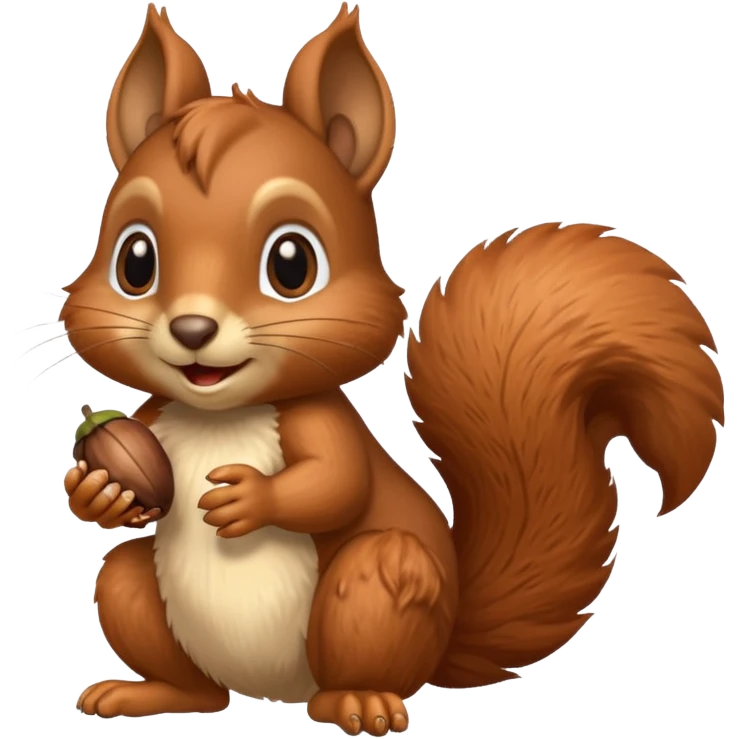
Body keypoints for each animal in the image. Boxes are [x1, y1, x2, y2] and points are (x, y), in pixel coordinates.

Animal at [60, 3, 724, 735]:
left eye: (292, 263)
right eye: (134, 261)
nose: (192, 330)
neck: (220, 412)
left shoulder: (323, 420)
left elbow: (336, 483)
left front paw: (249, 497)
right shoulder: (153, 417)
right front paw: (98, 491)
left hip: (378, 593)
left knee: (372, 613)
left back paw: (360, 701)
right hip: (137, 597)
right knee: (163, 636)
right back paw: (152, 694)